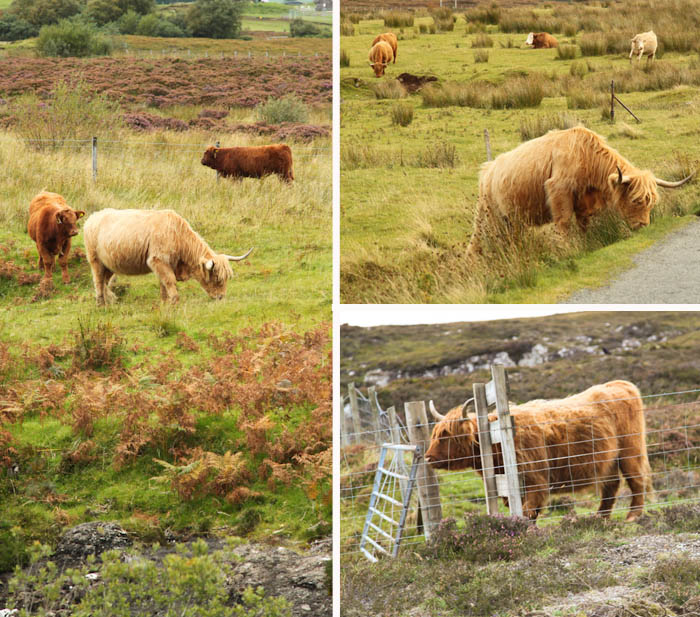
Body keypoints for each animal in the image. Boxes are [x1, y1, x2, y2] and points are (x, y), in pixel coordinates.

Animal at [83, 208, 253, 305]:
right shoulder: (158, 260)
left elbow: (163, 283)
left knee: (104, 282)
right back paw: (101, 304)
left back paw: (110, 300)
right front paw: (174, 301)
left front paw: (165, 302)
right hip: (95, 260)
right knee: (98, 281)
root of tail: (92, 217)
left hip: (109, 265)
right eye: (217, 278)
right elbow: (170, 281)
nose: (221, 297)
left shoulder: (164, 264)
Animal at [425, 380, 653, 522]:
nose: (427, 457)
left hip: (630, 450)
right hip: (608, 460)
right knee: (611, 485)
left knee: (636, 479)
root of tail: (620, 384)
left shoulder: (536, 480)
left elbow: (528, 511)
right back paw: (601, 517)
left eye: (446, 436)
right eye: (435, 434)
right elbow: (528, 512)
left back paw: (633, 515)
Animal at [467, 126, 694, 257]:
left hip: (512, 221)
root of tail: (488, 168)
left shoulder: (585, 202)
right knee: (477, 239)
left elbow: (584, 224)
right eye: (636, 200)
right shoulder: (559, 190)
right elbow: (564, 223)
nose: (643, 226)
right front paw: (566, 250)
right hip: (488, 216)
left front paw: (585, 244)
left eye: (651, 202)